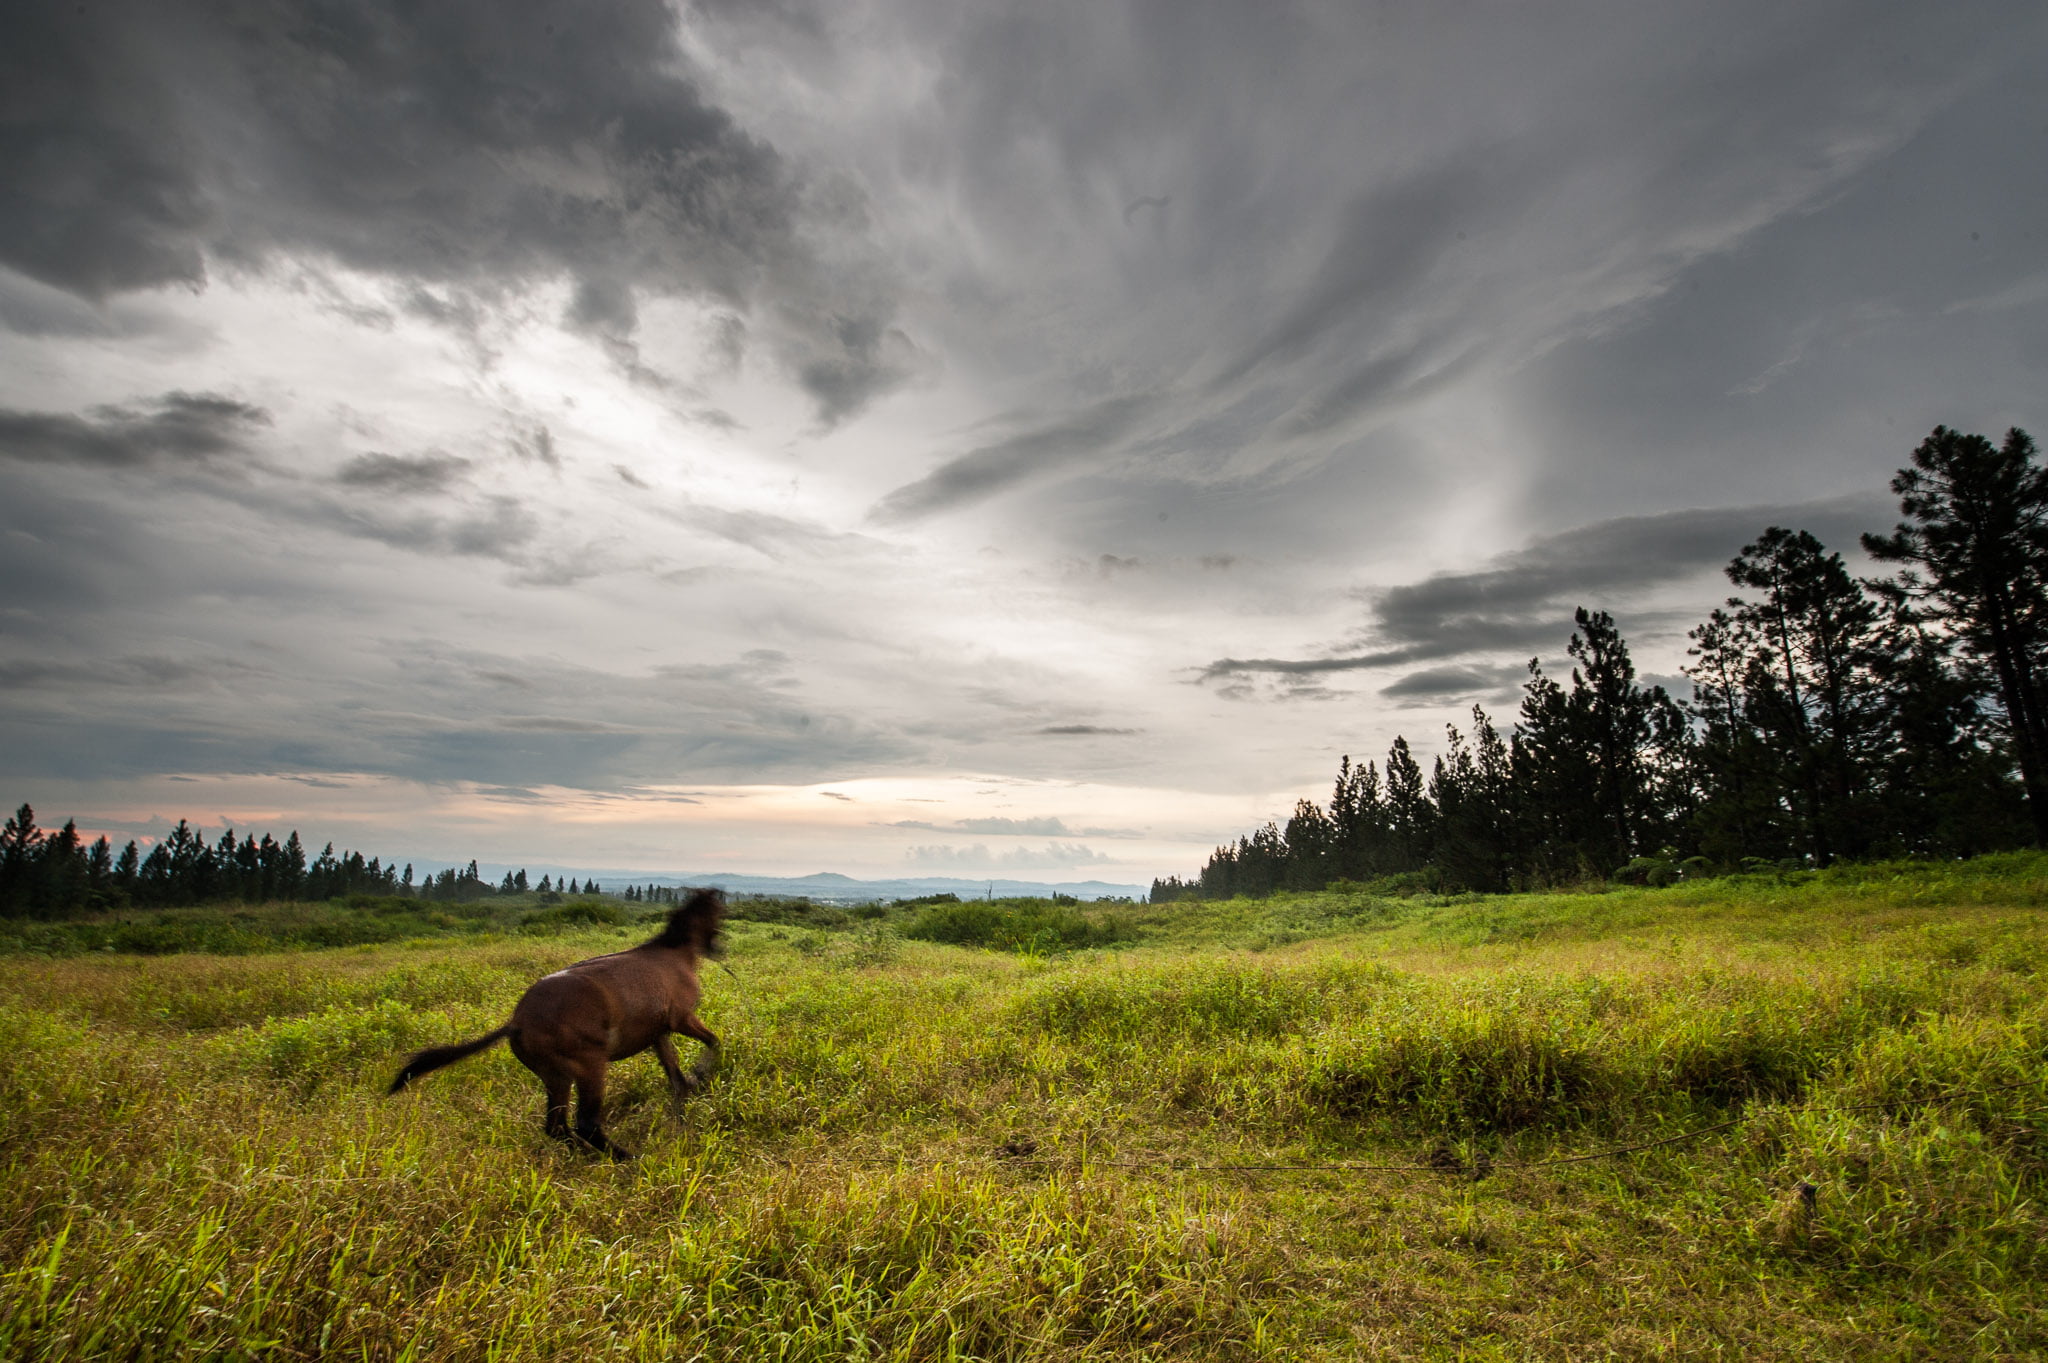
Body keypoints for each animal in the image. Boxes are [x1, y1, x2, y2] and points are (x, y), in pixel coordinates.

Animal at [387, 888, 725, 1158]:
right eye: (718, 912)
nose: (719, 946)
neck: (674, 952)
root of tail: (517, 1023)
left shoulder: (658, 1033)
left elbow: (676, 1078)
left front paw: (686, 1101)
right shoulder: (681, 1019)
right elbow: (713, 1042)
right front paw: (700, 1075)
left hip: (556, 1076)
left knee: (556, 1126)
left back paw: (586, 1157)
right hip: (590, 1066)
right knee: (585, 1123)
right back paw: (627, 1158)